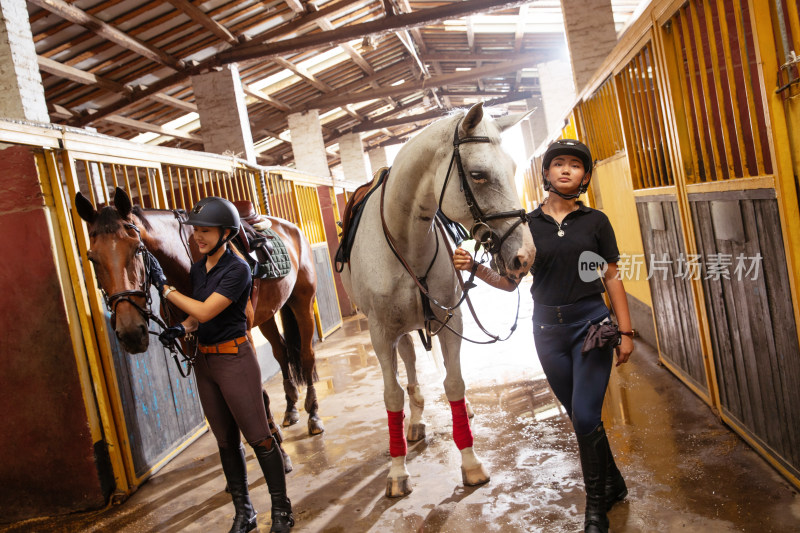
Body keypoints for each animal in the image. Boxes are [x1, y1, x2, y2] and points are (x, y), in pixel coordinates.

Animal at [75, 185, 324, 434]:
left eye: (138, 249)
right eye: (91, 258)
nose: (131, 333)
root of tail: (292, 228)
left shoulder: (242, 333)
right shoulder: (187, 338)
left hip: (302, 304)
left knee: (306, 354)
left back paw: (313, 415)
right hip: (267, 314)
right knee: (281, 351)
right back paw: (291, 409)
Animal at [340, 103, 536, 494]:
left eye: (512, 168)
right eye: (478, 174)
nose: (525, 256)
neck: (405, 241)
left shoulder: (450, 320)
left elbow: (454, 382)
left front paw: (471, 463)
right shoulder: (381, 333)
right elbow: (392, 395)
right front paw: (397, 471)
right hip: (398, 330)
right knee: (410, 365)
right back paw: (414, 421)